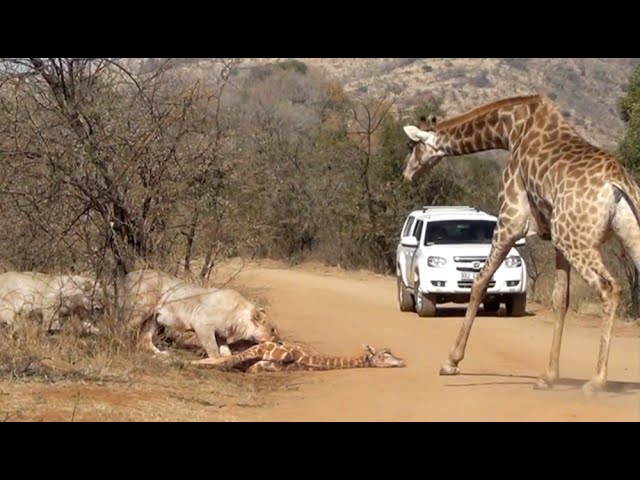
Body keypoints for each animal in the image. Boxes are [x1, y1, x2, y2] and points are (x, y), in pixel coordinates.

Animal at [402, 93, 640, 394]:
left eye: (411, 146)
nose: (405, 173)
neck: (511, 130)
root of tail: (618, 183)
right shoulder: (555, 237)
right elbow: (560, 299)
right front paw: (548, 376)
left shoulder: (510, 219)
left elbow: (480, 281)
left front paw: (451, 361)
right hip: (619, 235)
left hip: (577, 238)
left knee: (610, 288)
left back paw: (597, 381)